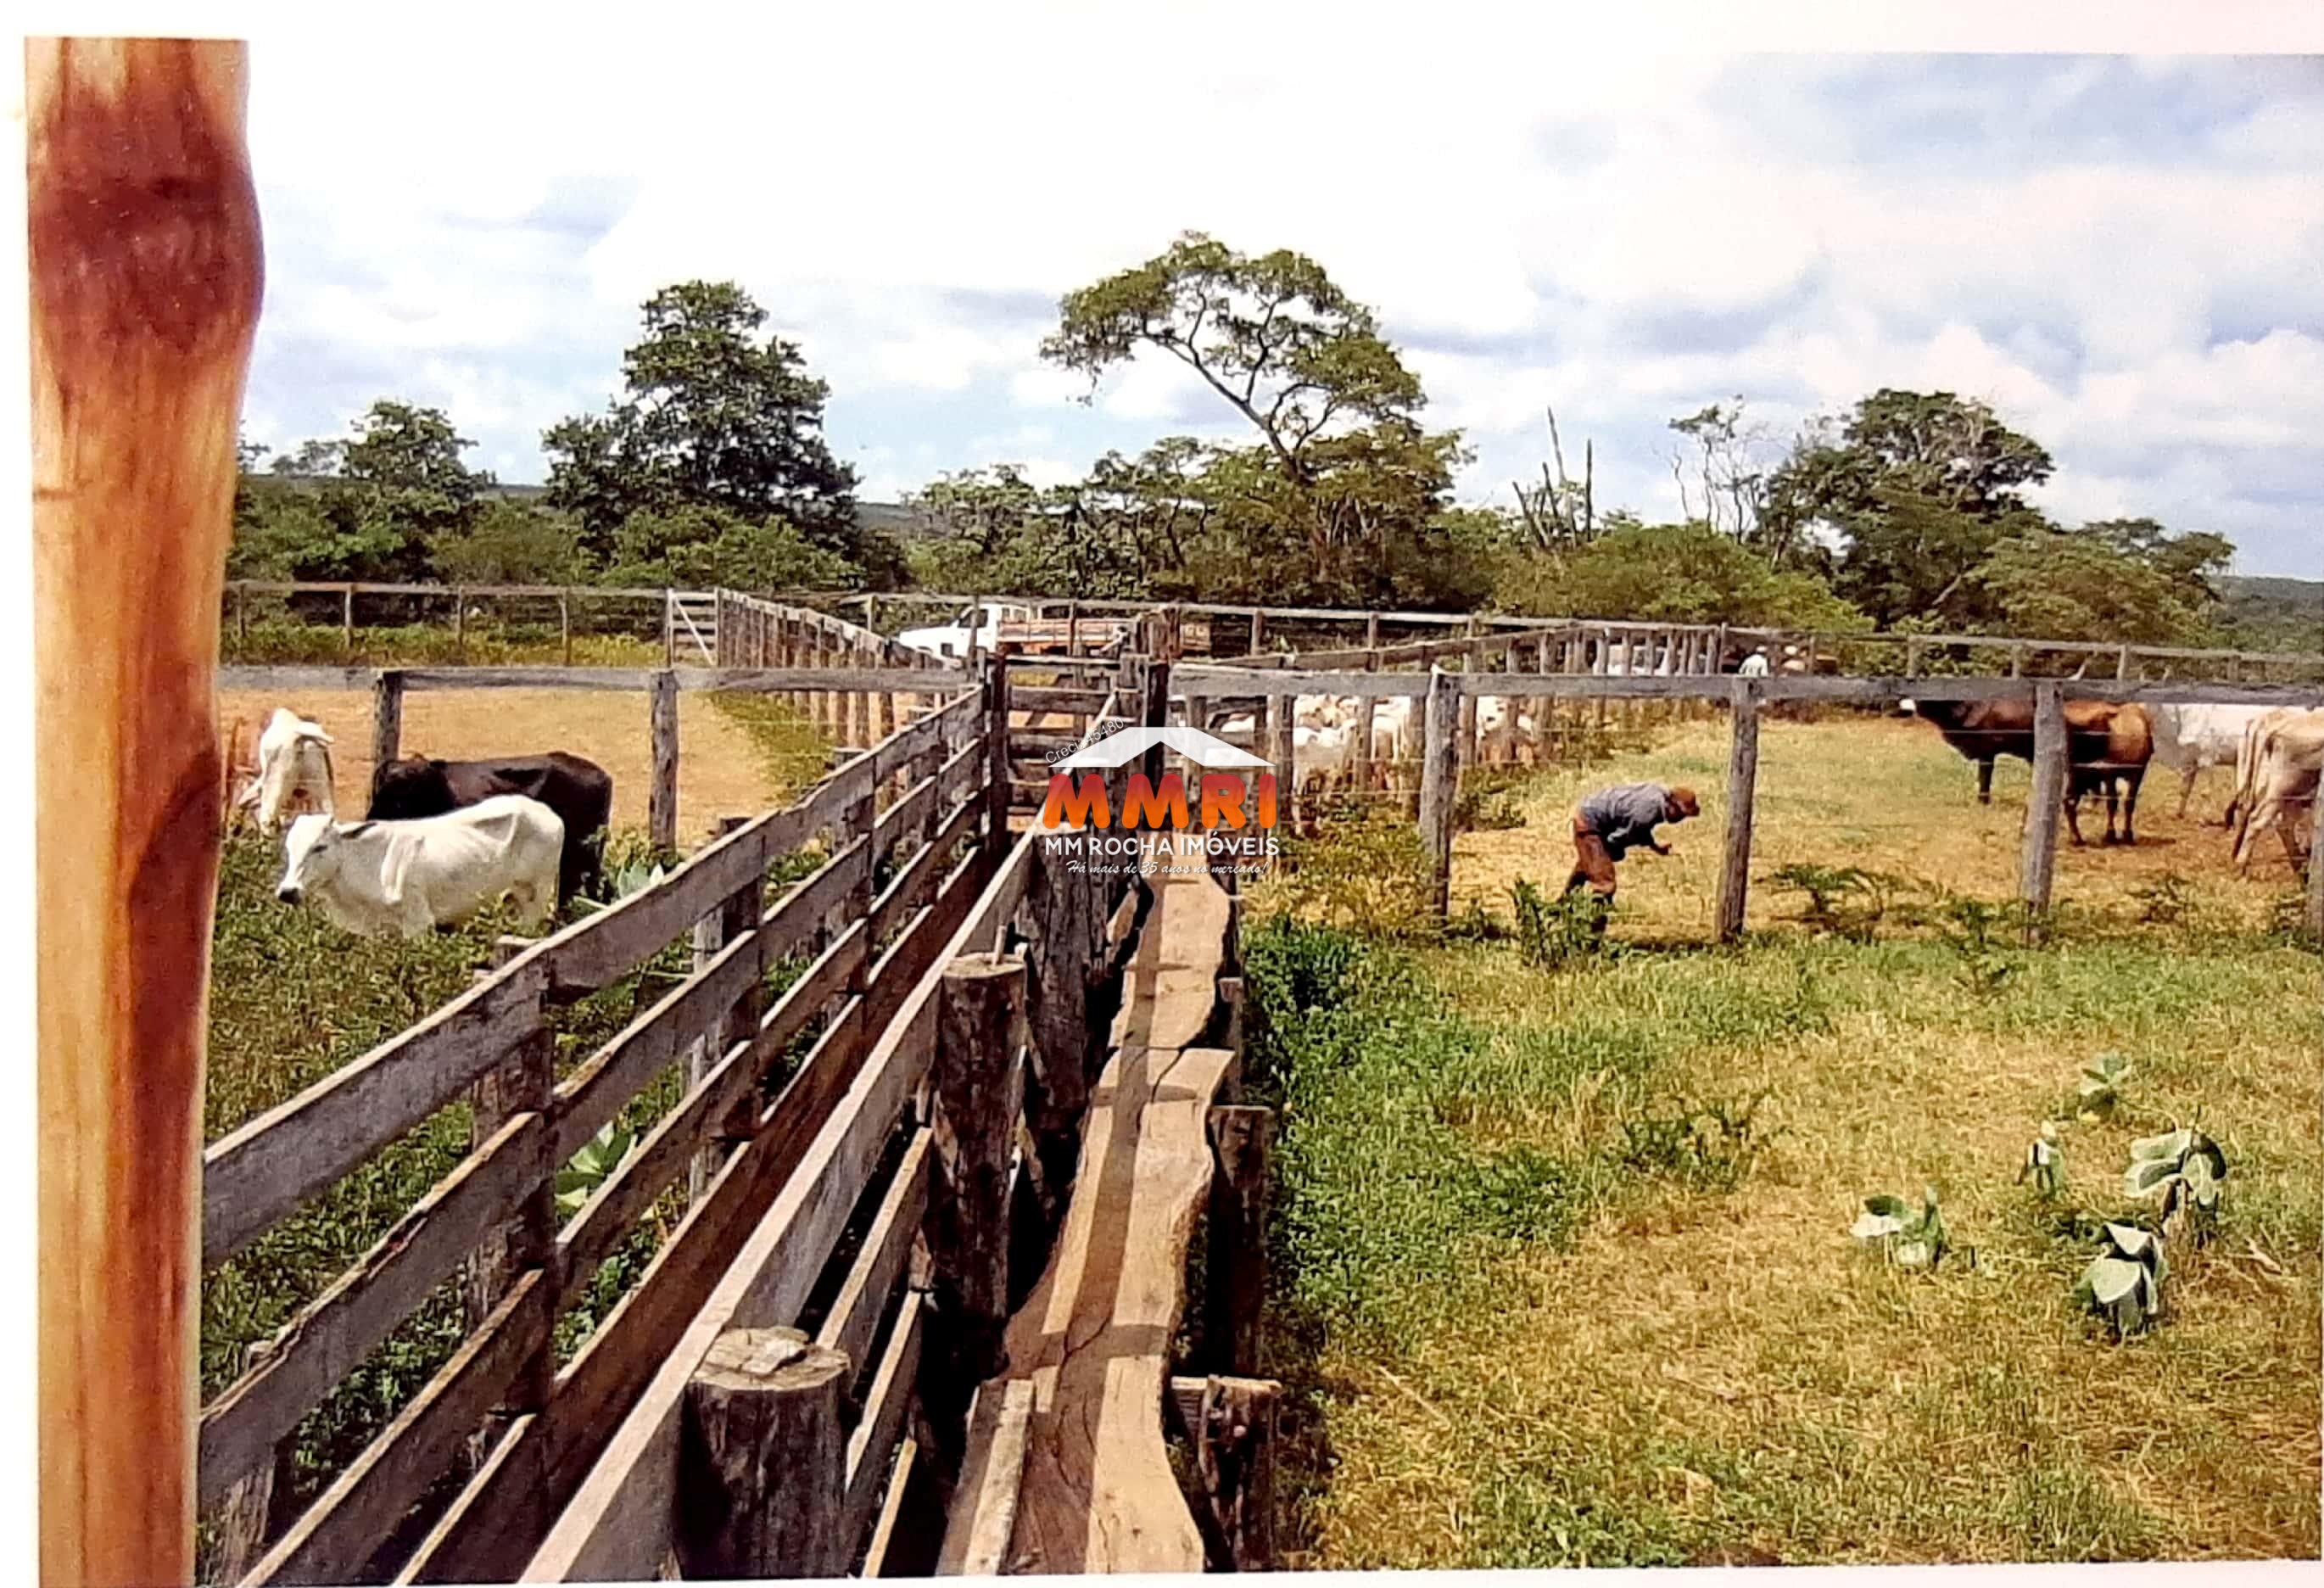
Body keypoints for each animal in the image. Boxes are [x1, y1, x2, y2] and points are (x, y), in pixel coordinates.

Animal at [277, 790, 567, 930]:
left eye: (320, 847)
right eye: (289, 848)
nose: (287, 892)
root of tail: (548, 812)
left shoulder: (418, 922)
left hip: (536, 896)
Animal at [2137, 711, 2268, 832]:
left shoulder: (2206, 758)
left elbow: (2206, 792)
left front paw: (2203, 820)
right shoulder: (2191, 760)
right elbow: (2184, 790)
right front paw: (2178, 814)